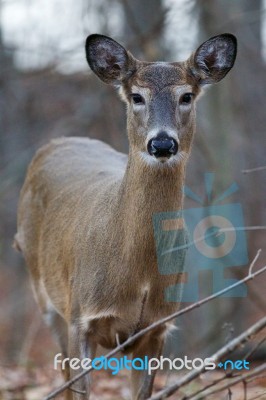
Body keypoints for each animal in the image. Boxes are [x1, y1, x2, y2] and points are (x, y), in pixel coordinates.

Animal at [15, 32, 237, 398]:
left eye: (186, 96)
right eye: (137, 96)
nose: (162, 144)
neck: (138, 273)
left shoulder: (157, 326)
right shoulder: (81, 317)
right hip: (46, 295)